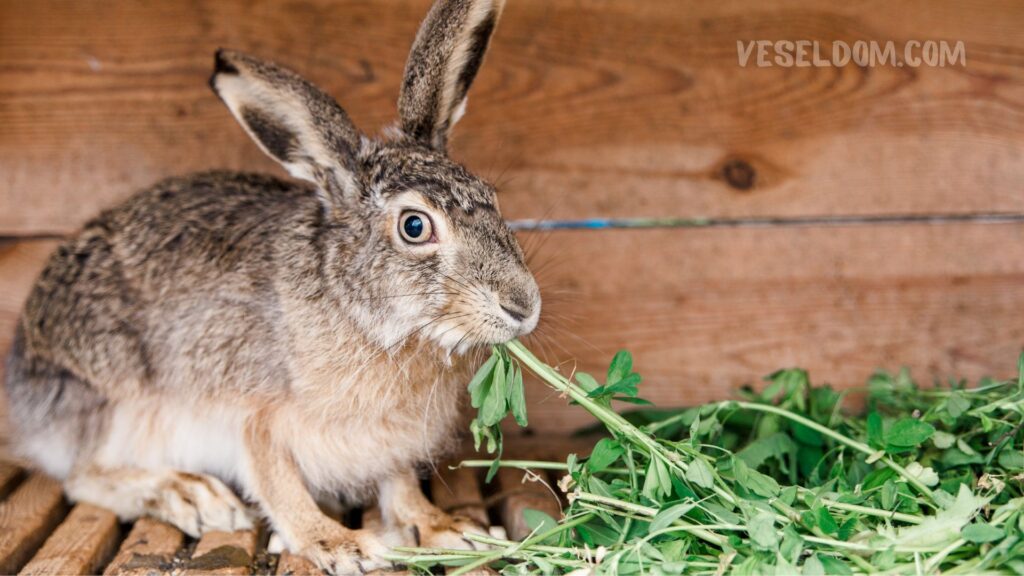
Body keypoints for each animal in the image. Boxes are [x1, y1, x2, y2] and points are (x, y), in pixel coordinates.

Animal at [3, 0, 540, 572]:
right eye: (414, 226)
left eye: (491, 197)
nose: (523, 305)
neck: (360, 309)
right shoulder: (255, 418)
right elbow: (278, 484)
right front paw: (338, 544)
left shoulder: (388, 443)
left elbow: (398, 487)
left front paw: (443, 527)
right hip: (114, 403)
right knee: (84, 476)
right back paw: (190, 495)